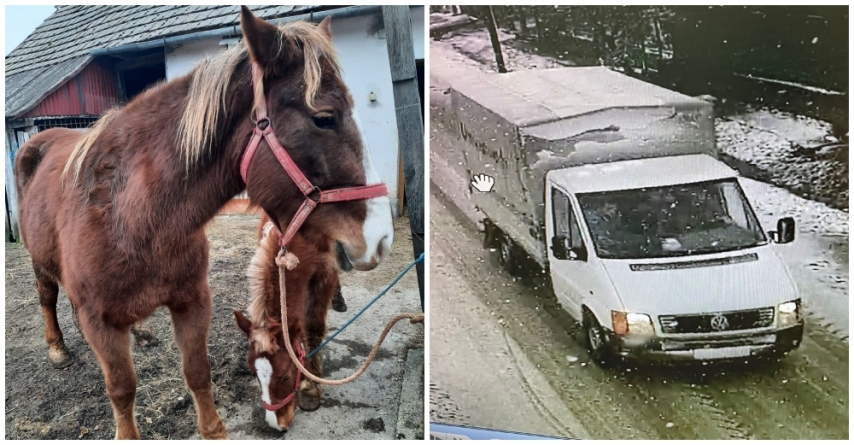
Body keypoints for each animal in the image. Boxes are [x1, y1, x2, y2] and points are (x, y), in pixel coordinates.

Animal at [234, 213, 341, 431]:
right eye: (253, 373)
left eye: (285, 376)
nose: (276, 425)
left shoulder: (326, 274)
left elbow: (313, 328)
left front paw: (311, 387)